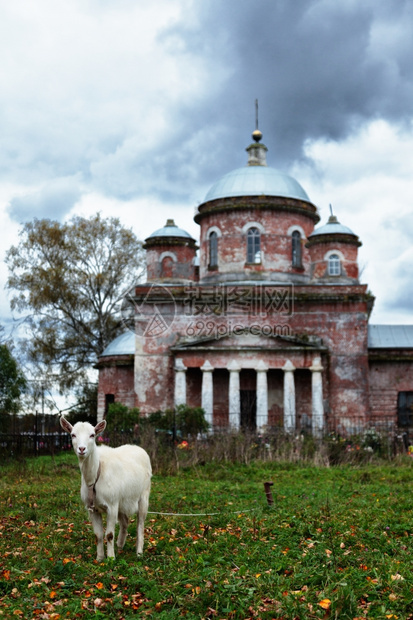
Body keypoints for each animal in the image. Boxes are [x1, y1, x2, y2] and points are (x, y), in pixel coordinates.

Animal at [59, 416, 151, 560]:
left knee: (140, 525)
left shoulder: (112, 506)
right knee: (125, 522)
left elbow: (109, 534)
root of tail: (139, 449)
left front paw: (111, 558)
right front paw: (100, 558)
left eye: (92, 435)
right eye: (73, 434)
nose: (82, 449)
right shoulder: (92, 509)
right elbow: (98, 535)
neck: (96, 474)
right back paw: (120, 546)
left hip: (143, 496)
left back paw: (139, 552)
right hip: (122, 501)